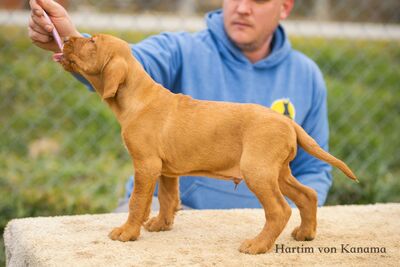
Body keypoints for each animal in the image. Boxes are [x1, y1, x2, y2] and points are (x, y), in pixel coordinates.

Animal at [60, 34, 356, 255]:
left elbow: (137, 202)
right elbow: (166, 199)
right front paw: (159, 225)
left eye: (92, 41)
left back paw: (257, 245)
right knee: (308, 195)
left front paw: (127, 232)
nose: (65, 39)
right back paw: (305, 233)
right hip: (278, 172)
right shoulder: (165, 170)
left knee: (279, 210)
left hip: (257, 171)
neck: (138, 98)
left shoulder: (146, 164)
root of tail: (288, 122)